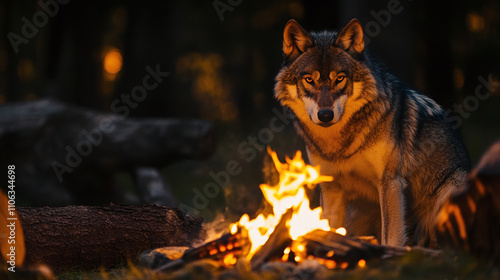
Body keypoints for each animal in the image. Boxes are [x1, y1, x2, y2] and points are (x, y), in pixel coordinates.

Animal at [276, 18, 470, 246]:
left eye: (340, 78)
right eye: (309, 80)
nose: (325, 115)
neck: (340, 145)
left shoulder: (390, 183)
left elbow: (391, 238)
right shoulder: (331, 188)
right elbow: (330, 232)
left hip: (452, 188)